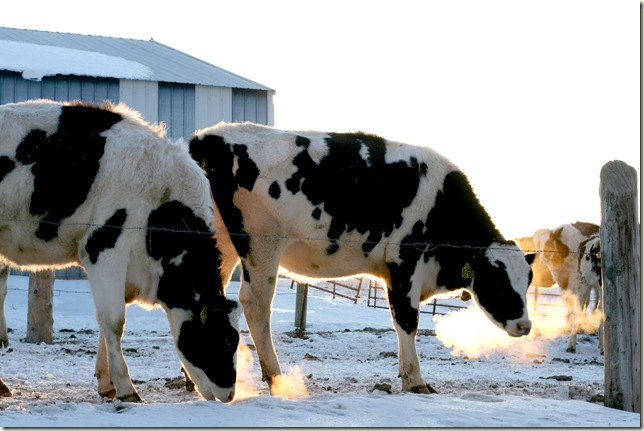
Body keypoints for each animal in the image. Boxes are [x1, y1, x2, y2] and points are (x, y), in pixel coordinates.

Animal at [0, 99, 239, 404]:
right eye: (223, 340)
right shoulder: (104, 249)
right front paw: (127, 389)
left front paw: (107, 385)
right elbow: (114, 321)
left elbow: (105, 322)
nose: (230, 394)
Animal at [189, 121, 536, 394]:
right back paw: (274, 376)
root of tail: (211, 135)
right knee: (255, 303)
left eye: (528, 282)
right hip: (262, 242)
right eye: (498, 281)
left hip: (220, 244)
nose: (525, 325)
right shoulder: (405, 262)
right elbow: (407, 320)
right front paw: (416, 381)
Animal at [516, 223, 600, 354]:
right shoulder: (562, 279)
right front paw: (570, 325)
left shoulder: (574, 279)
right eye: (534, 245)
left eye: (546, 245)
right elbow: (569, 302)